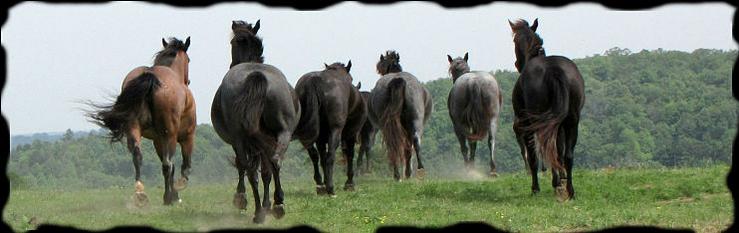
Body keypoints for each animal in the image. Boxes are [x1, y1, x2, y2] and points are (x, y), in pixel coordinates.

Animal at [86, 36, 195, 206]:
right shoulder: (186, 136)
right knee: (168, 164)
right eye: (188, 59)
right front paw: (176, 192)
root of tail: (150, 77)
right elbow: (184, 164)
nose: (188, 81)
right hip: (169, 134)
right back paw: (166, 196)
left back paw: (140, 193)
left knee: (138, 156)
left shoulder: (157, 140)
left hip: (134, 129)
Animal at [210, 20, 300, 224]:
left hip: (241, 138)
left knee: (250, 169)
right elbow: (266, 172)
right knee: (274, 161)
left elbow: (245, 167)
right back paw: (276, 205)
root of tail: (257, 74)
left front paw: (241, 197)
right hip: (282, 133)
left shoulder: (240, 142)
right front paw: (268, 204)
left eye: (232, 42)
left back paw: (260, 210)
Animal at [292, 60, 368, 195]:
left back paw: (321, 185)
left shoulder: (320, 139)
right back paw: (330, 188)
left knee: (314, 155)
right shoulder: (351, 134)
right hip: (336, 131)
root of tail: (315, 80)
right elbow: (349, 154)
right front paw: (349, 183)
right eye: (351, 78)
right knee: (330, 156)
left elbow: (322, 158)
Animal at [368, 51, 434, 181]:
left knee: (395, 146)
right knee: (413, 141)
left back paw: (399, 175)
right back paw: (416, 170)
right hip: (415, 120)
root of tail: (398, 79)